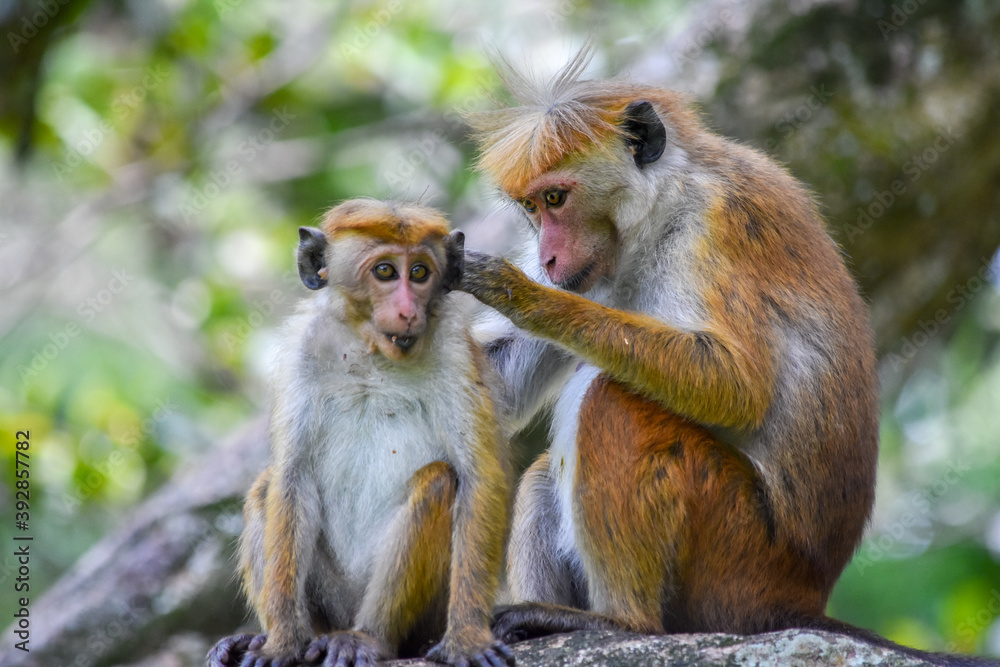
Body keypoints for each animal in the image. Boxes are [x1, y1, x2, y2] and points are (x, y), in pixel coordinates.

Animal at [207, 200, 512, 667]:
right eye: (385, 271)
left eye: (419, 273)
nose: (408, 310)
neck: (372, 353)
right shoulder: (304, 349)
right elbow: (292, 475)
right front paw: (281, 643)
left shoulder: (454, 350)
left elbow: (480, 476)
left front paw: (467, 638)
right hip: (330, 604)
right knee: (265, 487)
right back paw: (284, 638)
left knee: (437, 481)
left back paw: (369, 638)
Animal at [460, 49, 884, 644]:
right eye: (531, 209)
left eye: (555, 199)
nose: (546, 259)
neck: (661, 211)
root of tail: (801, 595)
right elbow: (497, 389)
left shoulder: (715, 224)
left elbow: (738, 387)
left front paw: (523, 295)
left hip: (738, 554)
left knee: (613, 400)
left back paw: (622, 621)